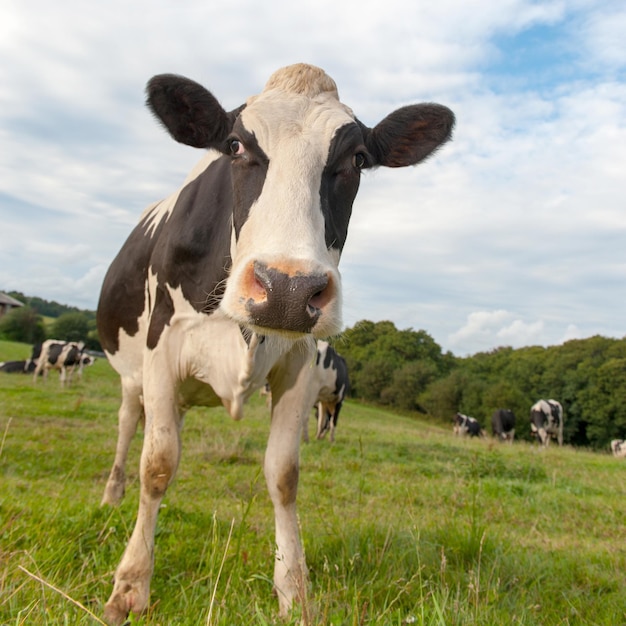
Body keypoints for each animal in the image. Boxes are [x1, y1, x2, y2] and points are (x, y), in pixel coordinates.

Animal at [94, 61, 454, 620]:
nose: (287, 289)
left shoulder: (301, 364)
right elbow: (156, 465)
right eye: (236, 145)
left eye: (357, 158)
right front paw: (130, 587)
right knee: (130, 426)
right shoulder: (162, 349)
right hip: (133, 374)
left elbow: (284, 475)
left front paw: (295, 593)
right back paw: (113, 494)